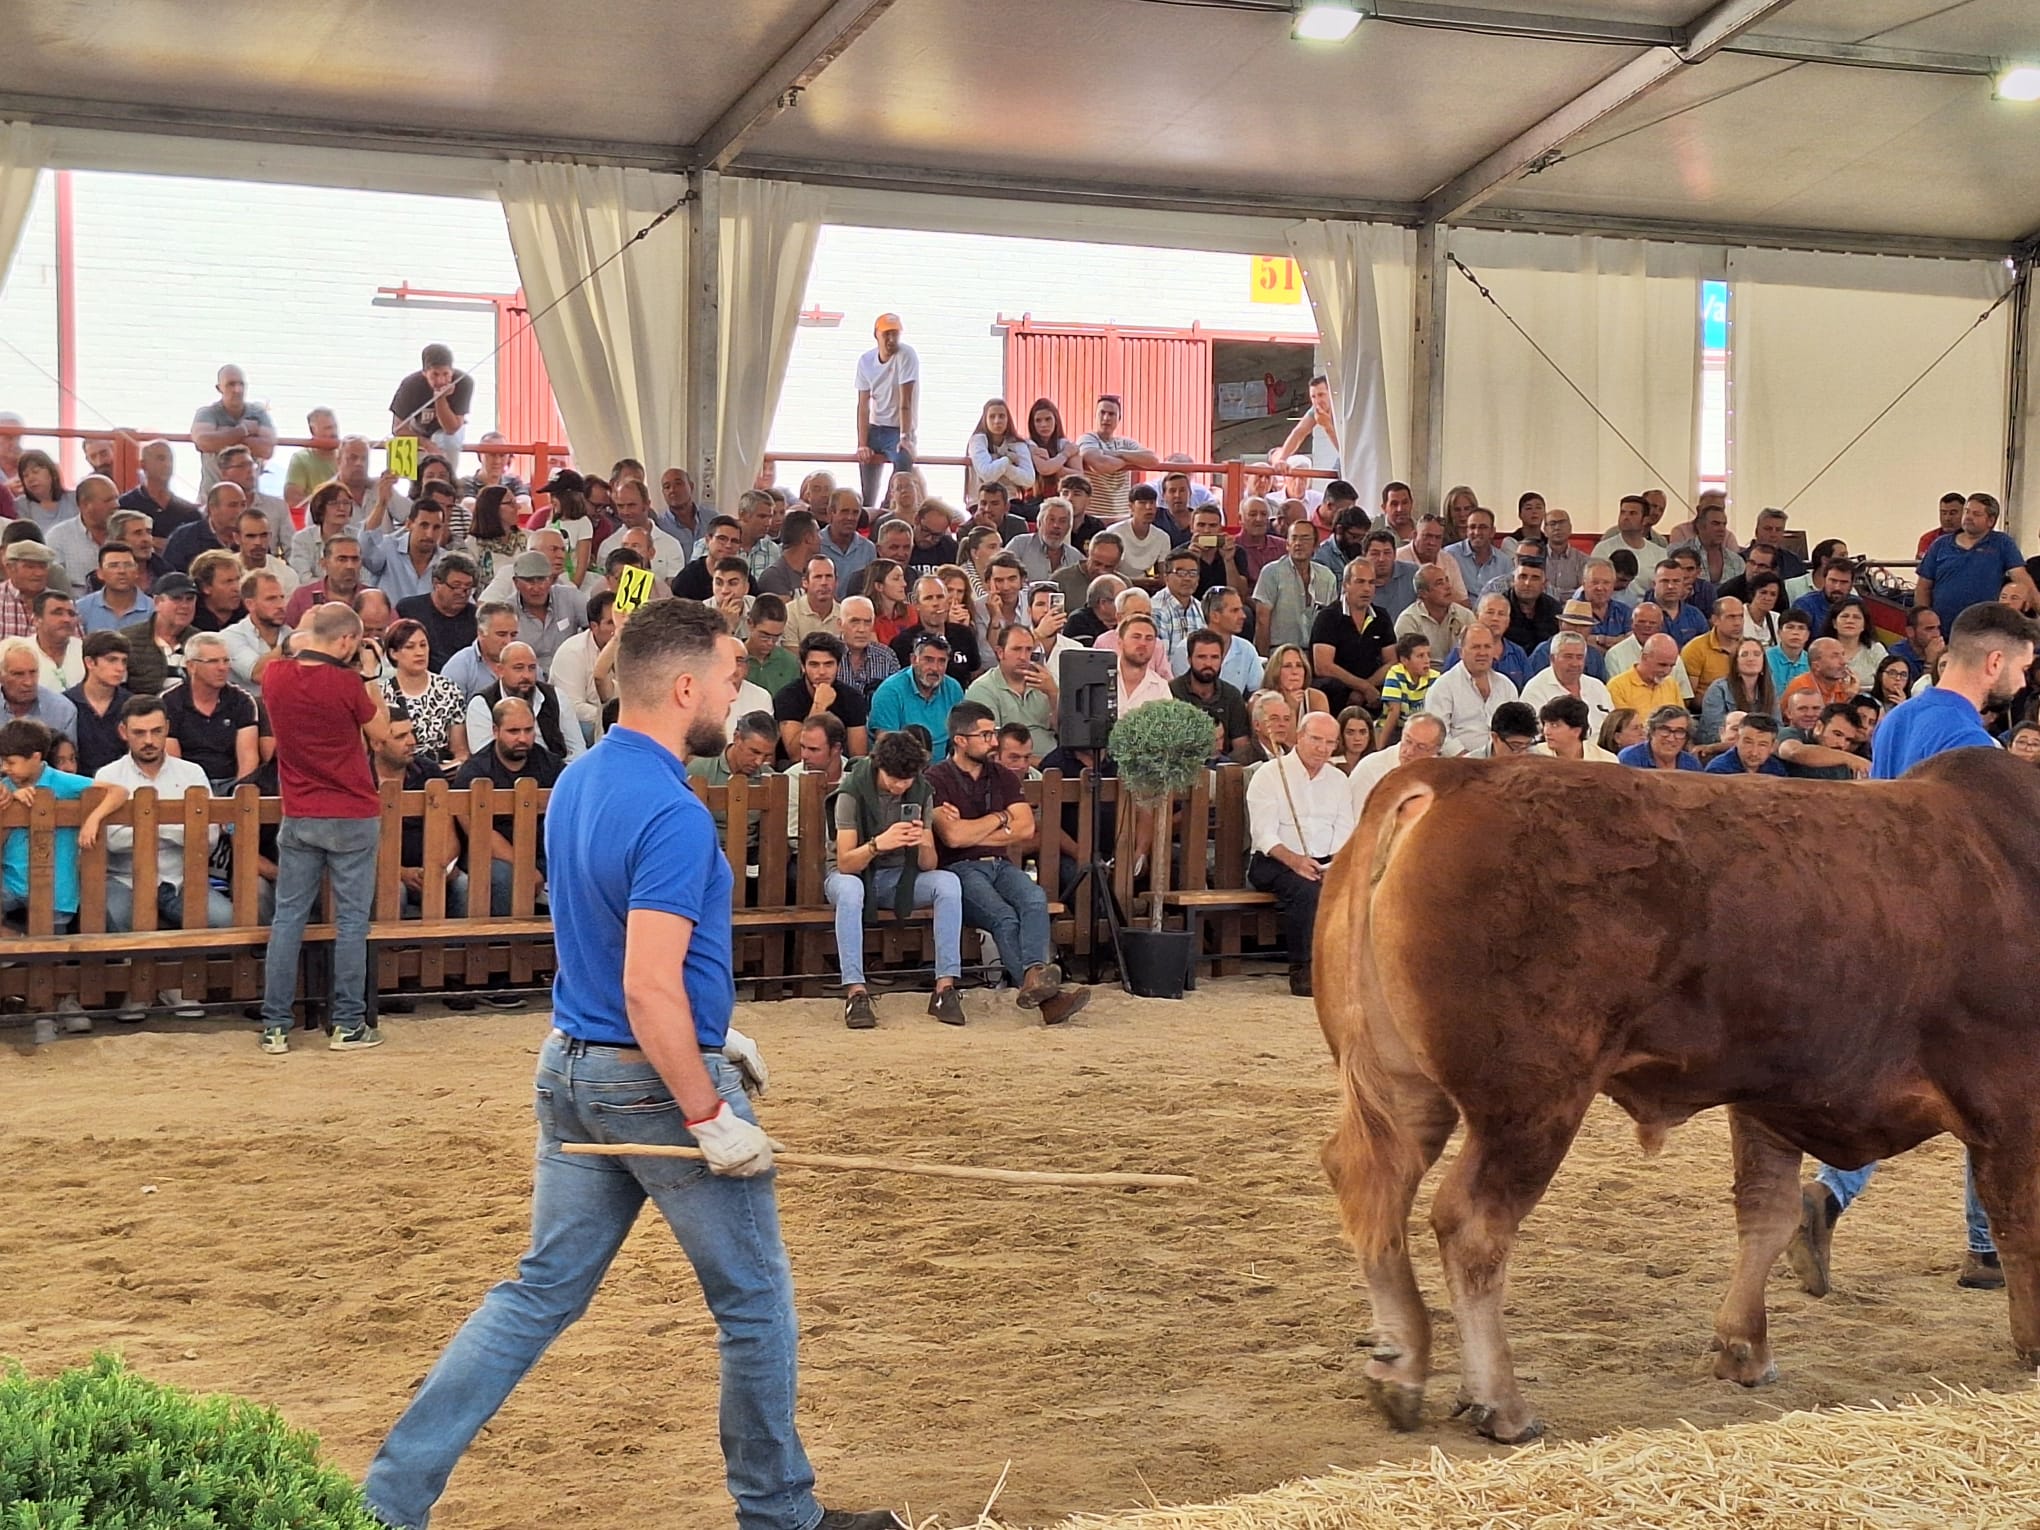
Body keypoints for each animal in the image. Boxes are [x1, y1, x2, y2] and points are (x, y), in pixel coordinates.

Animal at [1313, 754, 2040, 1452]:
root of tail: (1446, 774)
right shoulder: (2011, 1103)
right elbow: (2019, 1225)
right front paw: (2033, 1344)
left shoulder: (1770, 1092)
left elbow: (1767, 1213)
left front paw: (1744, 1347)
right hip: (1533, 1098)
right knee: (1473, 1225)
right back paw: (1503, 1405)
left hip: (1405, 1090)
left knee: (1373, 1188)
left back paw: (1400, 1367)